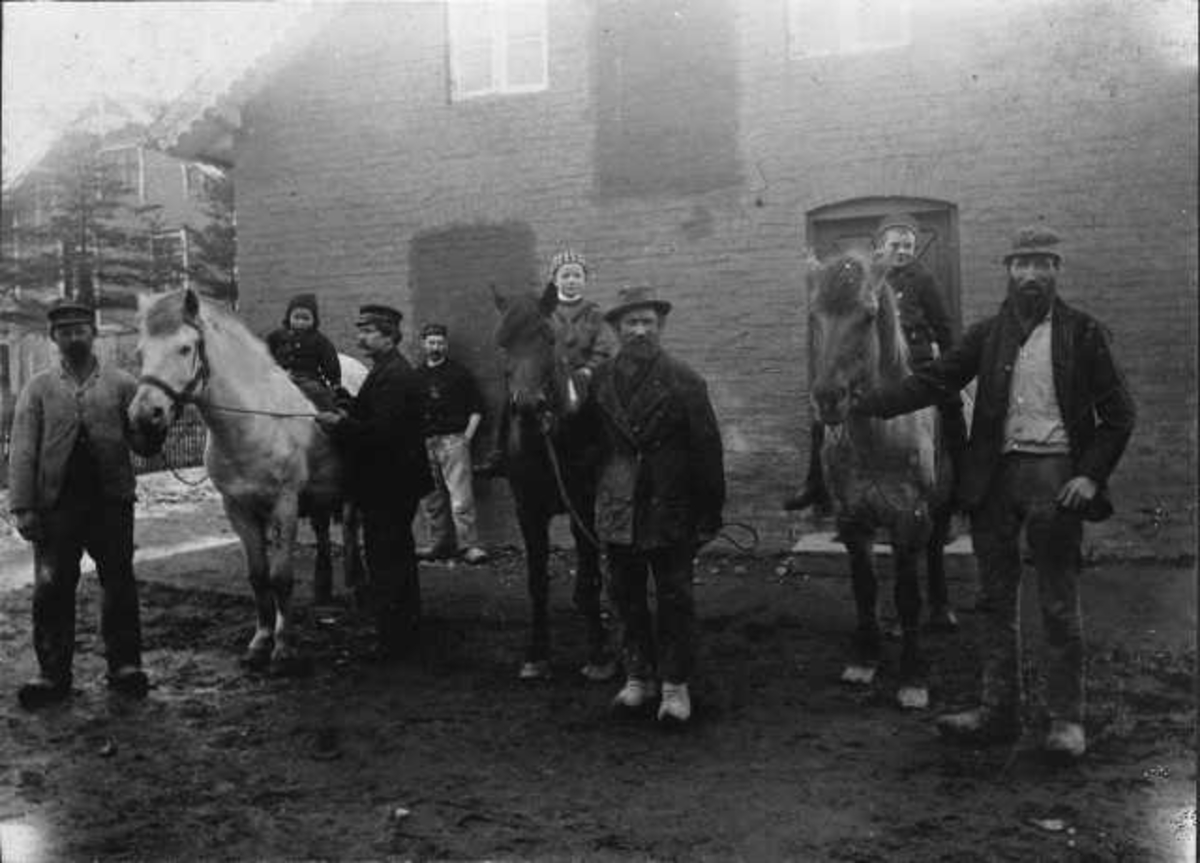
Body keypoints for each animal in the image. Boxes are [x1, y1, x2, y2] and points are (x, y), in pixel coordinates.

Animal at [131, 290, 357, 676]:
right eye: (142, 351)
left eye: (185, 348)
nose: (145, 417)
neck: (253, 423)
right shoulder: (238, 509)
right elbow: (258, 576)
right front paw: (260, 643)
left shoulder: (284, 506)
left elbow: (280, 578)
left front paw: (283, 649)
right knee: (324, 531)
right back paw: (324, 586)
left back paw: (361, 582)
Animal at [492, 286, 614, 686]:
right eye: (502, 342)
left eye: (548, 338)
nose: (529, 405)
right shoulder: (528, 511)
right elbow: (537, 582)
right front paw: (536, 656)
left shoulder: (583, 507)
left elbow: (590, 580)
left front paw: (599, 656)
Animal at [806, 249, 955, 710]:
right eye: (814, 314)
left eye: (869, 315)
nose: (828, 398)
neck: (879, 432)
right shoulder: (852, 520)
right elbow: (865, 587)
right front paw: (866, 659)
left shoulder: (910, 515)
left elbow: (908, 595)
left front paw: (913, 677)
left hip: (941, 504)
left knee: (936, 548)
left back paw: (941, 611)